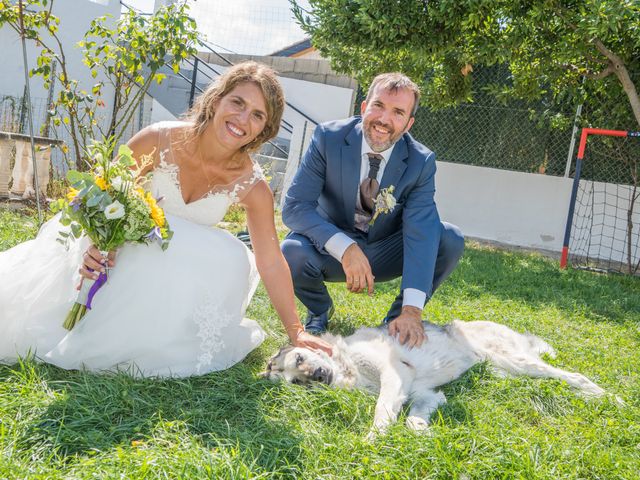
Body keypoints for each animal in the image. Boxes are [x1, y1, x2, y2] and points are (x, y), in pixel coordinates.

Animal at [262, 320, 604, 436]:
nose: (319, 376)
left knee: (574, 375)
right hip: (505, 373)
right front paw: (423, 432)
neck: (348, 369)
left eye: (300, 359)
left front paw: (373, 439)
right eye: (296, 382)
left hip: (517, 362)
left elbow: (382, 411)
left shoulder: (395, 373)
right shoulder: (426, 395)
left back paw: (603, 396)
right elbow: (413, 419)